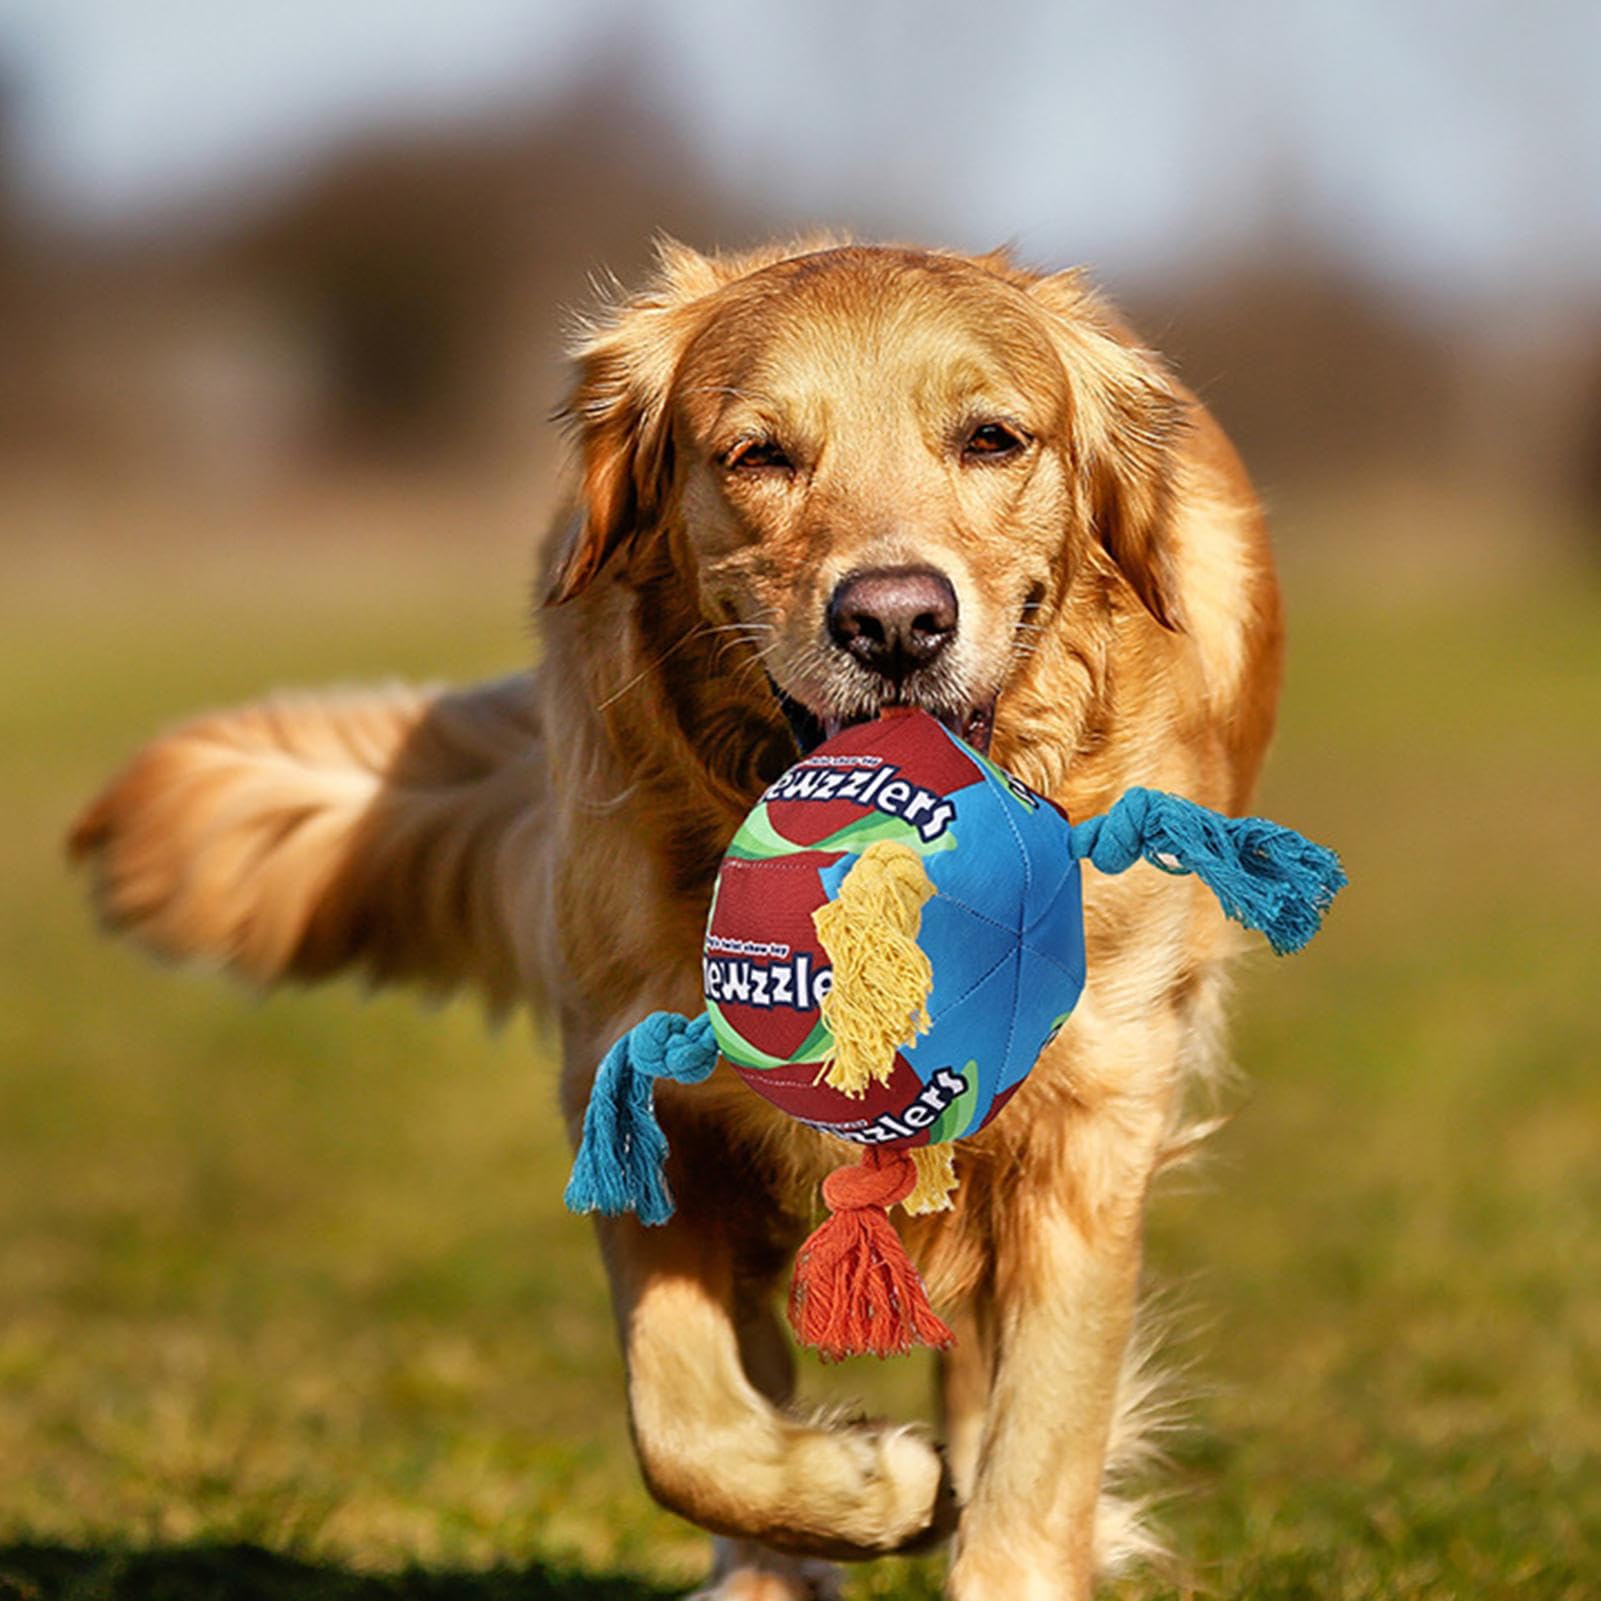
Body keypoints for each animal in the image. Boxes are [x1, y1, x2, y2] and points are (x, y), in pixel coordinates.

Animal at [68, 240, 1280, 1601]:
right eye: (758, 454)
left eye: (990, 439)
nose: (895, 619)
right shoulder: (638, 1089)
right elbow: (683, 1425)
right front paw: (858, 1486)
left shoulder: (1086, 1122)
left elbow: (1038, 1444)